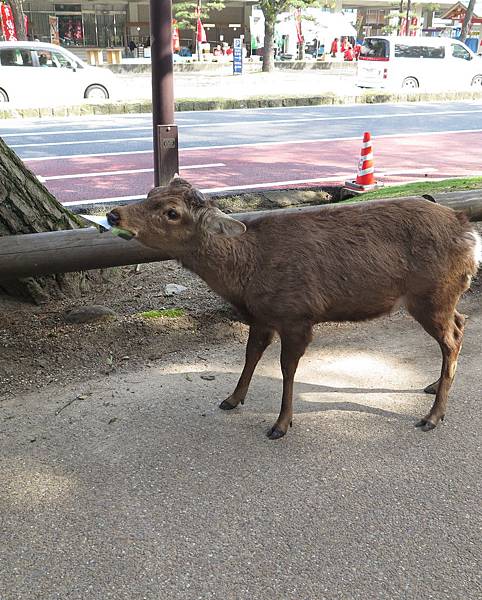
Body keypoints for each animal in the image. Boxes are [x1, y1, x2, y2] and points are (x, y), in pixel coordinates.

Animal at [106, 178, 482, 440]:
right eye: (151, 191)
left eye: (172, 212)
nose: (113, 214)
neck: (245, 276)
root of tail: (468, 230)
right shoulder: (261, 317)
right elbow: (251, 355)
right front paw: (232, 398)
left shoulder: (297, 314)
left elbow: (287, 370)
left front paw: (281, 424)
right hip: (443, 297)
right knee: (461, 324)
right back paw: (434, 385)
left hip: (432, 294)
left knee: (452, 339)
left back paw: (433, 416)